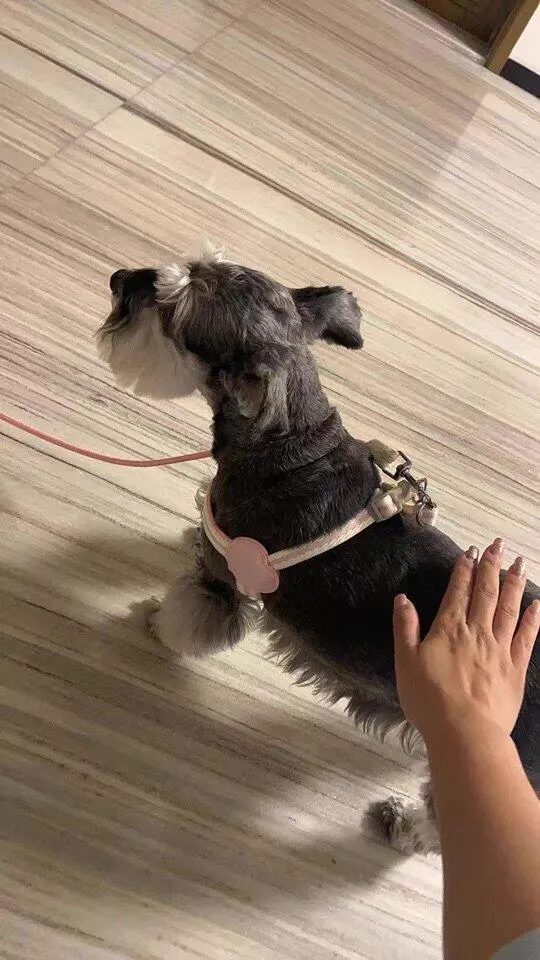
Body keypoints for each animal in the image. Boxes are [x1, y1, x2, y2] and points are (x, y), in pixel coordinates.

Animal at [98, 252, 539, 854]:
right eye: (195, 263)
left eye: (175, 312)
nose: (118, 279)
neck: (293, 447)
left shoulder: (223, 582)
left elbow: (194, 611)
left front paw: (155, 620)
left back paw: (399, 823)